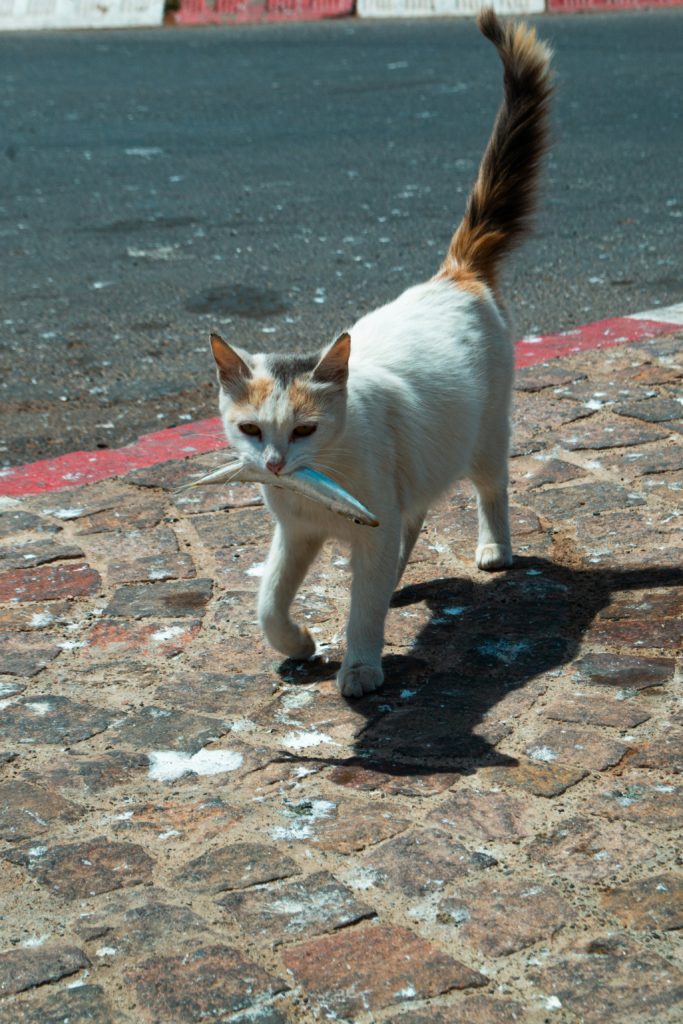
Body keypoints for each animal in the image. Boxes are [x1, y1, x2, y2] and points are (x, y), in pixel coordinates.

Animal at [210, 8, 552, 696]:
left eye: (306, 429)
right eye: (251, 429)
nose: (277, 465)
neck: (318, 481)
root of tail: (454, 275)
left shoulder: (365, 524)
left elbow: (360, 606)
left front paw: (361, 665)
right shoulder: (296, 534)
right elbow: (268, 603)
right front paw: (297, 642)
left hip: (485, 434)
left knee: (491, 489)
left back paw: (493, 549)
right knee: (413, 517)